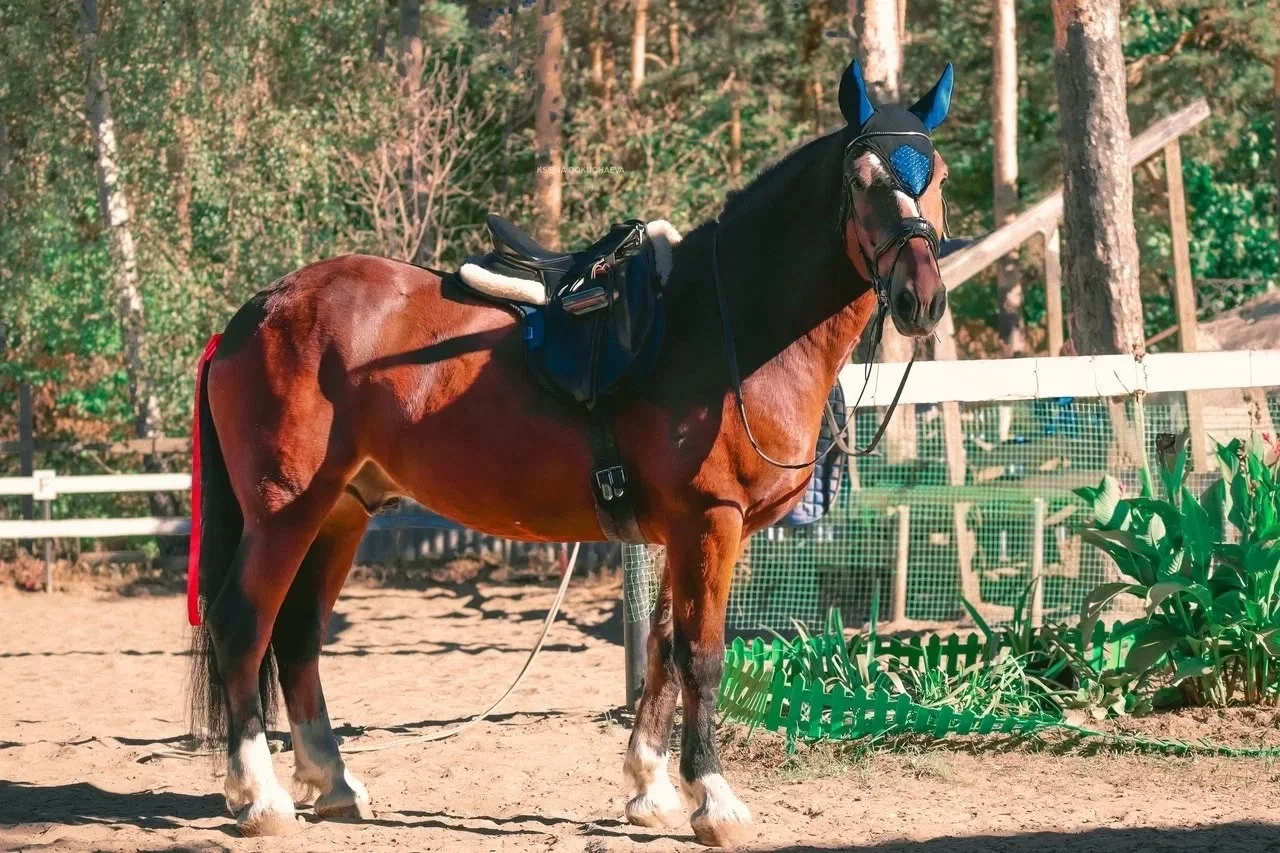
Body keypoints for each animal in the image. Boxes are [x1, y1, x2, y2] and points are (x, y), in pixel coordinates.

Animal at [186, 57, 955, 847]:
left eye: (940, 174)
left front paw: (650, 787)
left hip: (342, 512)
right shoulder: (710, 521)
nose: (920, 299)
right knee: (242, 626)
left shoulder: (681, 531)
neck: (729, 324)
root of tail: (256, 313)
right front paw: (714, 800)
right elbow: (701, 656)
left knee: (299, 635)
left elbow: (662, 648)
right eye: (861, 178)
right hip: (285, 512)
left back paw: (333, 781)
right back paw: (260, 796)